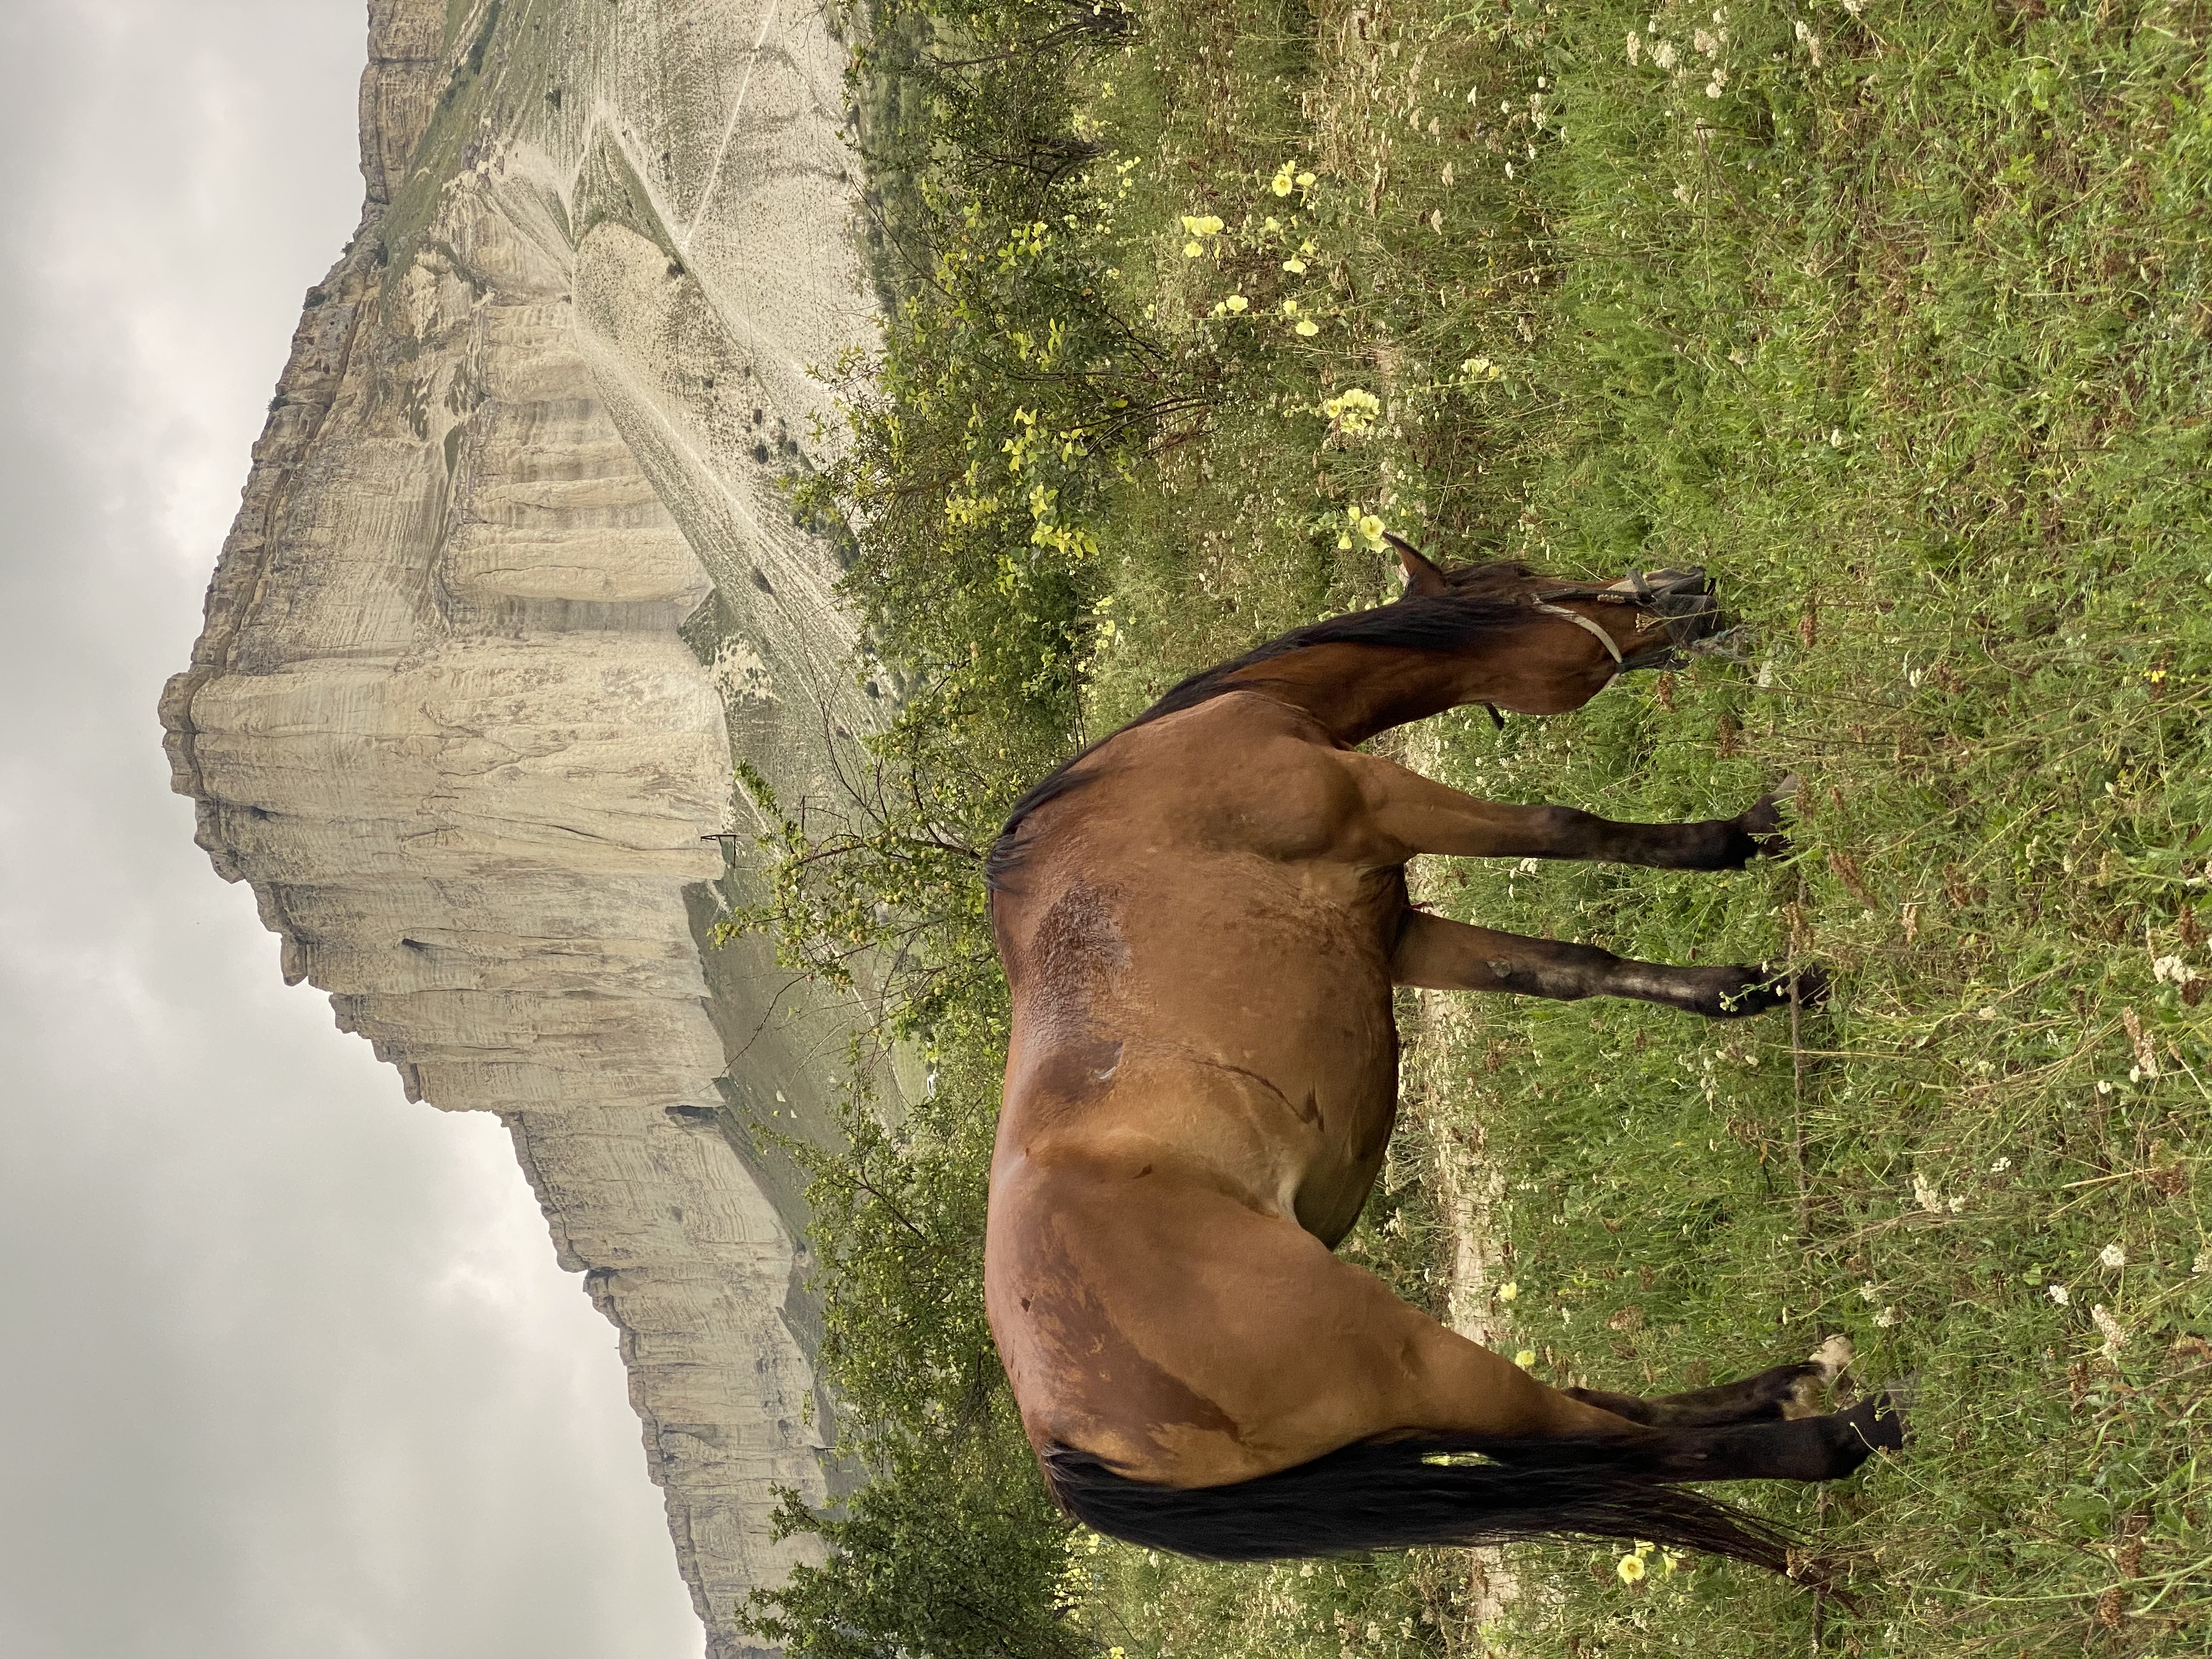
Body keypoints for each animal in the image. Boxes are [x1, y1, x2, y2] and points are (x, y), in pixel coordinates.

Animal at [980, 546, 1903, 1574]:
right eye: (1528, 583)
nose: (1684, 588)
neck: (1189, 747)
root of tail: (1064, 1443)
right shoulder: (1390, 804)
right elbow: (1564, 826)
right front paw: (1750, 829)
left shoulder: (1399, 933)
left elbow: (1572, 969)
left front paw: (1758, 987)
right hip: (1425, 1366)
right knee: (1616, 1443)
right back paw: (1850, 1430)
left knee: (1593, 1419)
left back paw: (1787, 1383)